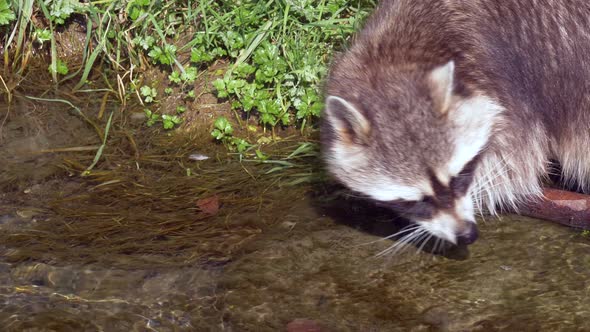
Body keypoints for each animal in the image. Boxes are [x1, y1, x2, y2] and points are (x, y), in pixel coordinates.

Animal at [322, 0, 590, 246]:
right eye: (416, 200)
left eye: (458, 176)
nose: (466, 235)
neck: (394, 58)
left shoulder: (508, 88)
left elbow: (514, 166)